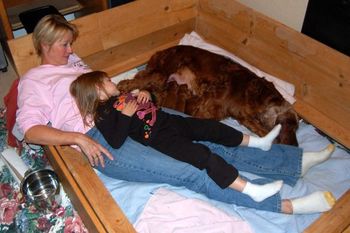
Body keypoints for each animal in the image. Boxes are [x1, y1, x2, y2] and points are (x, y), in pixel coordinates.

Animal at [117, 44, 298, 145]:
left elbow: (262, 130)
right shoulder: (210, 108)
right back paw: (122, 86)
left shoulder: (243, 116)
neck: (258, 96)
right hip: (162, 73)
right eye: (290, 126)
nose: (295, 146)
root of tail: (163, 50)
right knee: (138, 80)